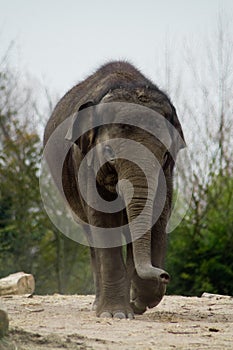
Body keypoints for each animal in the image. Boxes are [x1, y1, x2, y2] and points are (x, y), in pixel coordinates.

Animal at [43, 60, 186, 320]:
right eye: (109, 151)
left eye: (164, 155)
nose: (164, 275)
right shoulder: (84, 161)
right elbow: (103, 220)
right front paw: (117, 314)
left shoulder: (167, 173)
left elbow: (159, 215)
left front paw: (138, 301)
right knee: (91, 236)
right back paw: (97, 306)